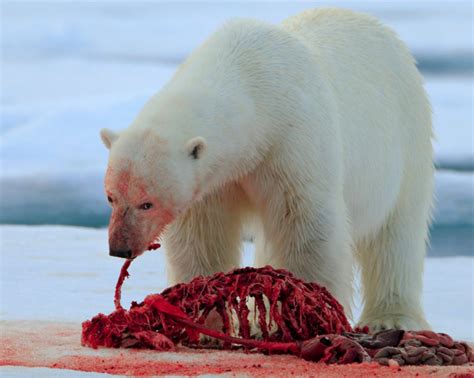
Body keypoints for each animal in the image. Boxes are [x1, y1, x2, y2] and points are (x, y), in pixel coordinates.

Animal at [100, 8, 434, 332]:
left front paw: (311, 311)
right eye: (111, 197)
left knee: (397, 233)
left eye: (147, 203)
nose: (119, 248)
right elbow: (202, 235)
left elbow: (307, 225)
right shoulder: (215, 180)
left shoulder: (291, 142)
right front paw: (208, 318)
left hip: (406, 135)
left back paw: (390, 318)